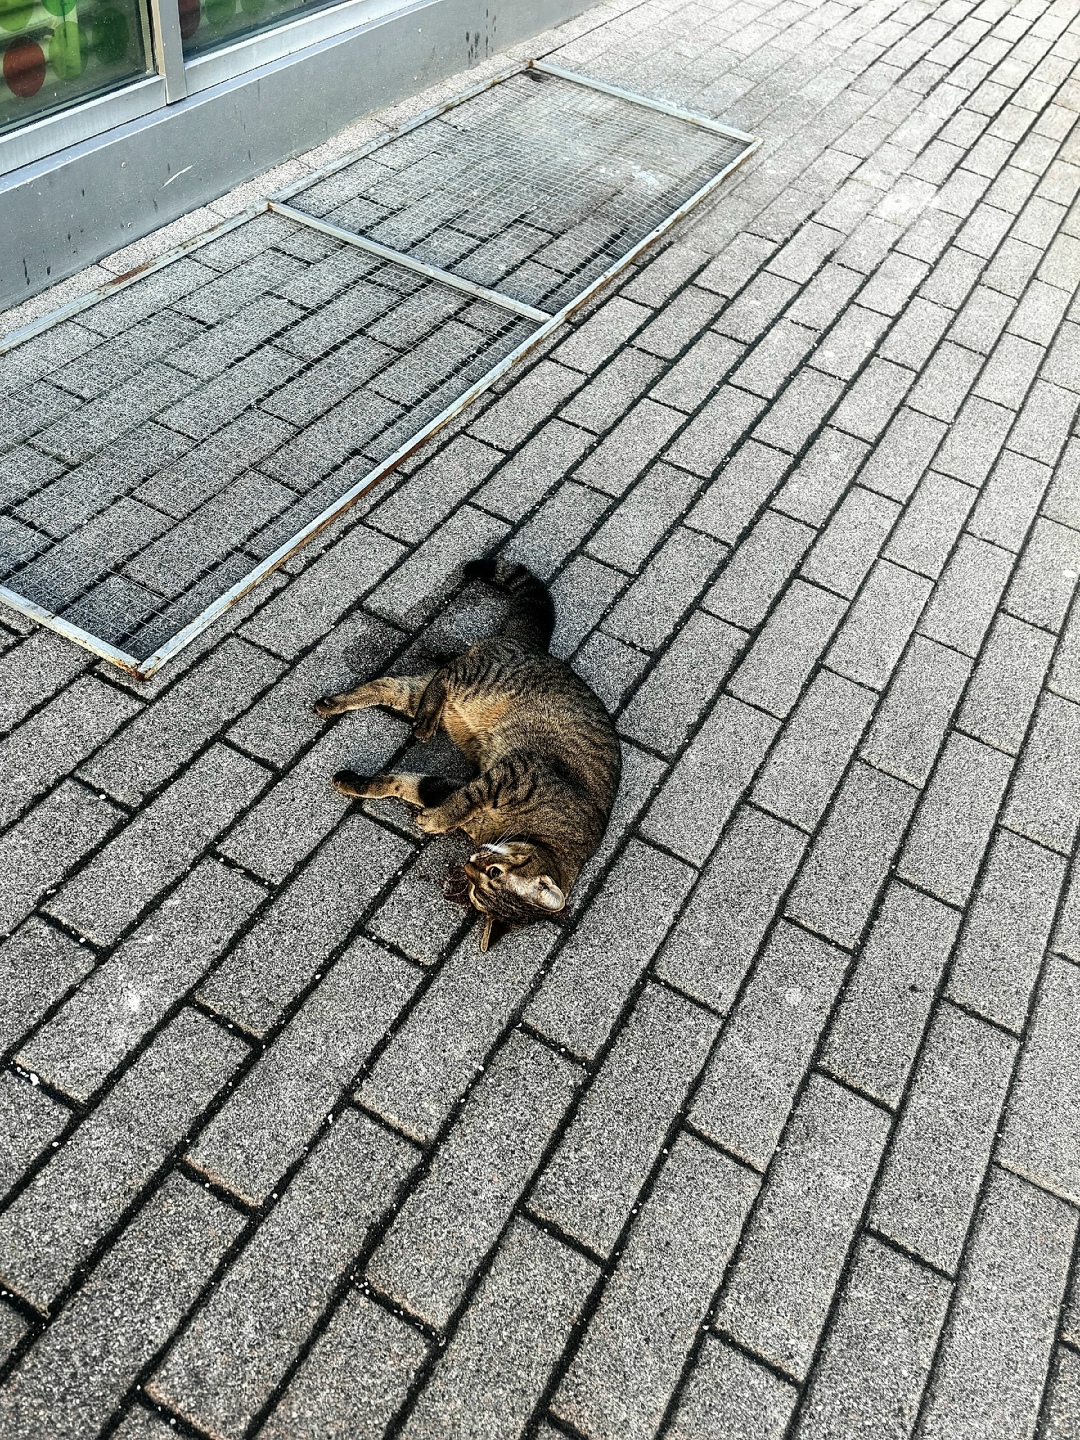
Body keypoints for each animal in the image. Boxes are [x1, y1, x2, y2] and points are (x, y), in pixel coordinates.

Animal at [313, 557, 622, 951]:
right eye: (490, 872)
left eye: (478, 888)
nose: (469, 864)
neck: (527, 831)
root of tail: (531, 645)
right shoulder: (513, 773)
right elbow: (463, 800)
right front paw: (436, 820)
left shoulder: (448, 787)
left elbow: (400, 783)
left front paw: (356, 783)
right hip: (480, 680)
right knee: (446, 673)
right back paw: (425, 720)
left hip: (434, 695)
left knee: (392, 684)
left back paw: (334, 703)